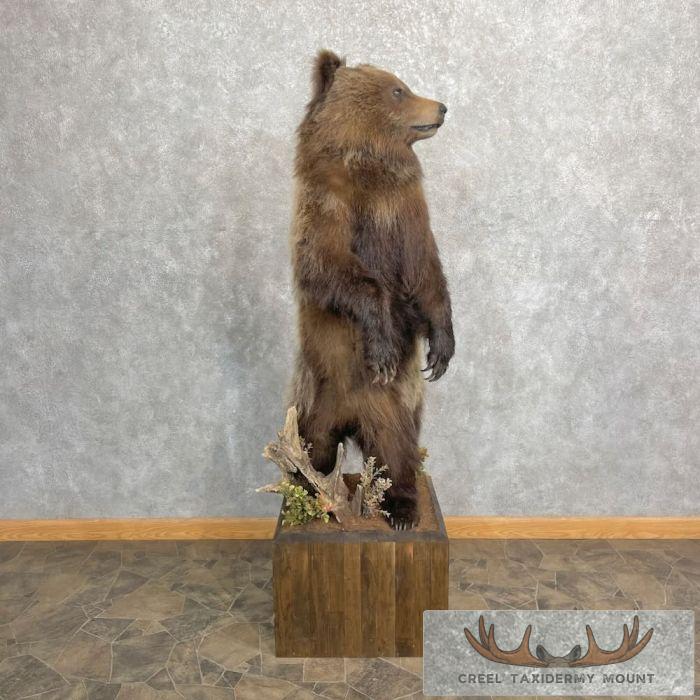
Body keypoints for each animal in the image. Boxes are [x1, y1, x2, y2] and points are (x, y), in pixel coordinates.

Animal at [289, 50, 454, 529]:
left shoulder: (408, 212)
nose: (441, 107)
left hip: (390, 409)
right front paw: (381, 349)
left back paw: (402, 507)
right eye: (398, 89)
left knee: (396, 450)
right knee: (312, 447)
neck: (373, 165)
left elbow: (426, 274)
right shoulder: (328, 202)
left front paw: (442, 349)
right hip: (312, 399)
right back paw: (307, 494)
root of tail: (350, 420)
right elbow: (327, 266)